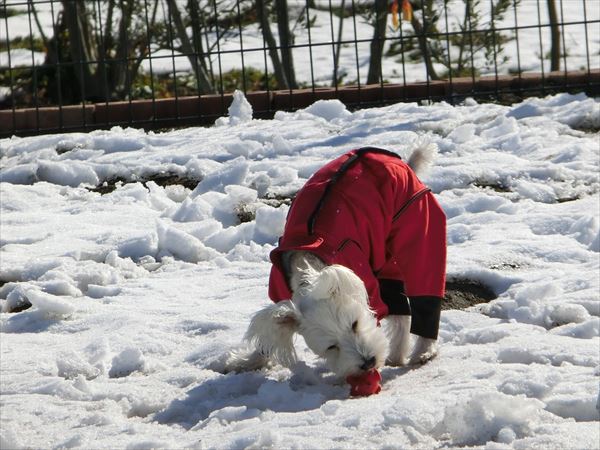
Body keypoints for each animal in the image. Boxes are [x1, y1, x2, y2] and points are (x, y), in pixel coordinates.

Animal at [224, 144, 446, 380]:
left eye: (355, 324)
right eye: (332, 347)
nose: (368, 362)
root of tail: (404, 162)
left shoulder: (366, 286)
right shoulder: (279, 294)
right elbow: (271, 335)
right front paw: (245, 362)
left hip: (418, 224)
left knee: (425, 287)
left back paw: (423, 351)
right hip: (383, 253)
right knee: (400, 310)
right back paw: (397, 355)